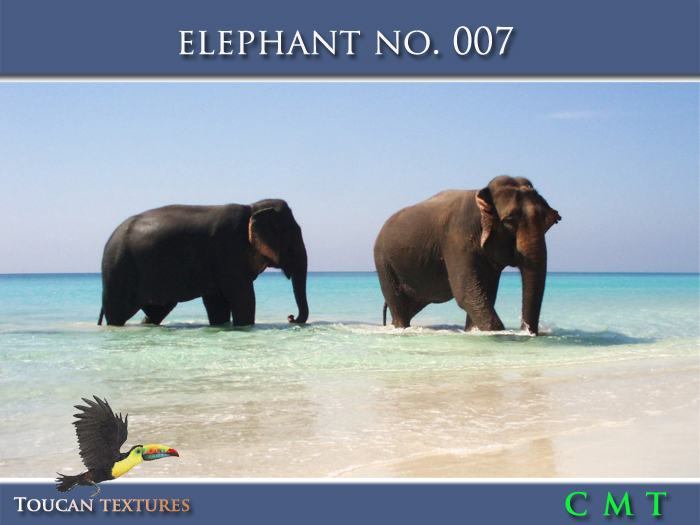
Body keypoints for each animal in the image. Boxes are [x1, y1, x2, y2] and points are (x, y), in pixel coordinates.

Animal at [98, 199, 308, 327]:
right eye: (292, 237)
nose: (290, 317)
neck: (252, 207)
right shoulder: (228, 251)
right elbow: (244, 297)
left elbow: (217, 303)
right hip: (119, 273)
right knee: (118, 314)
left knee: (157, 311)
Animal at [374, 176, 561, 335]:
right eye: (510, 222)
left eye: (544, 220)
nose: (526, 331)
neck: (481, 195)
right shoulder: (456, 239)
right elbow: (466, 292)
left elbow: (485, 293)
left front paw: (472, 331)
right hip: (384, 263)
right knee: (398, 306)